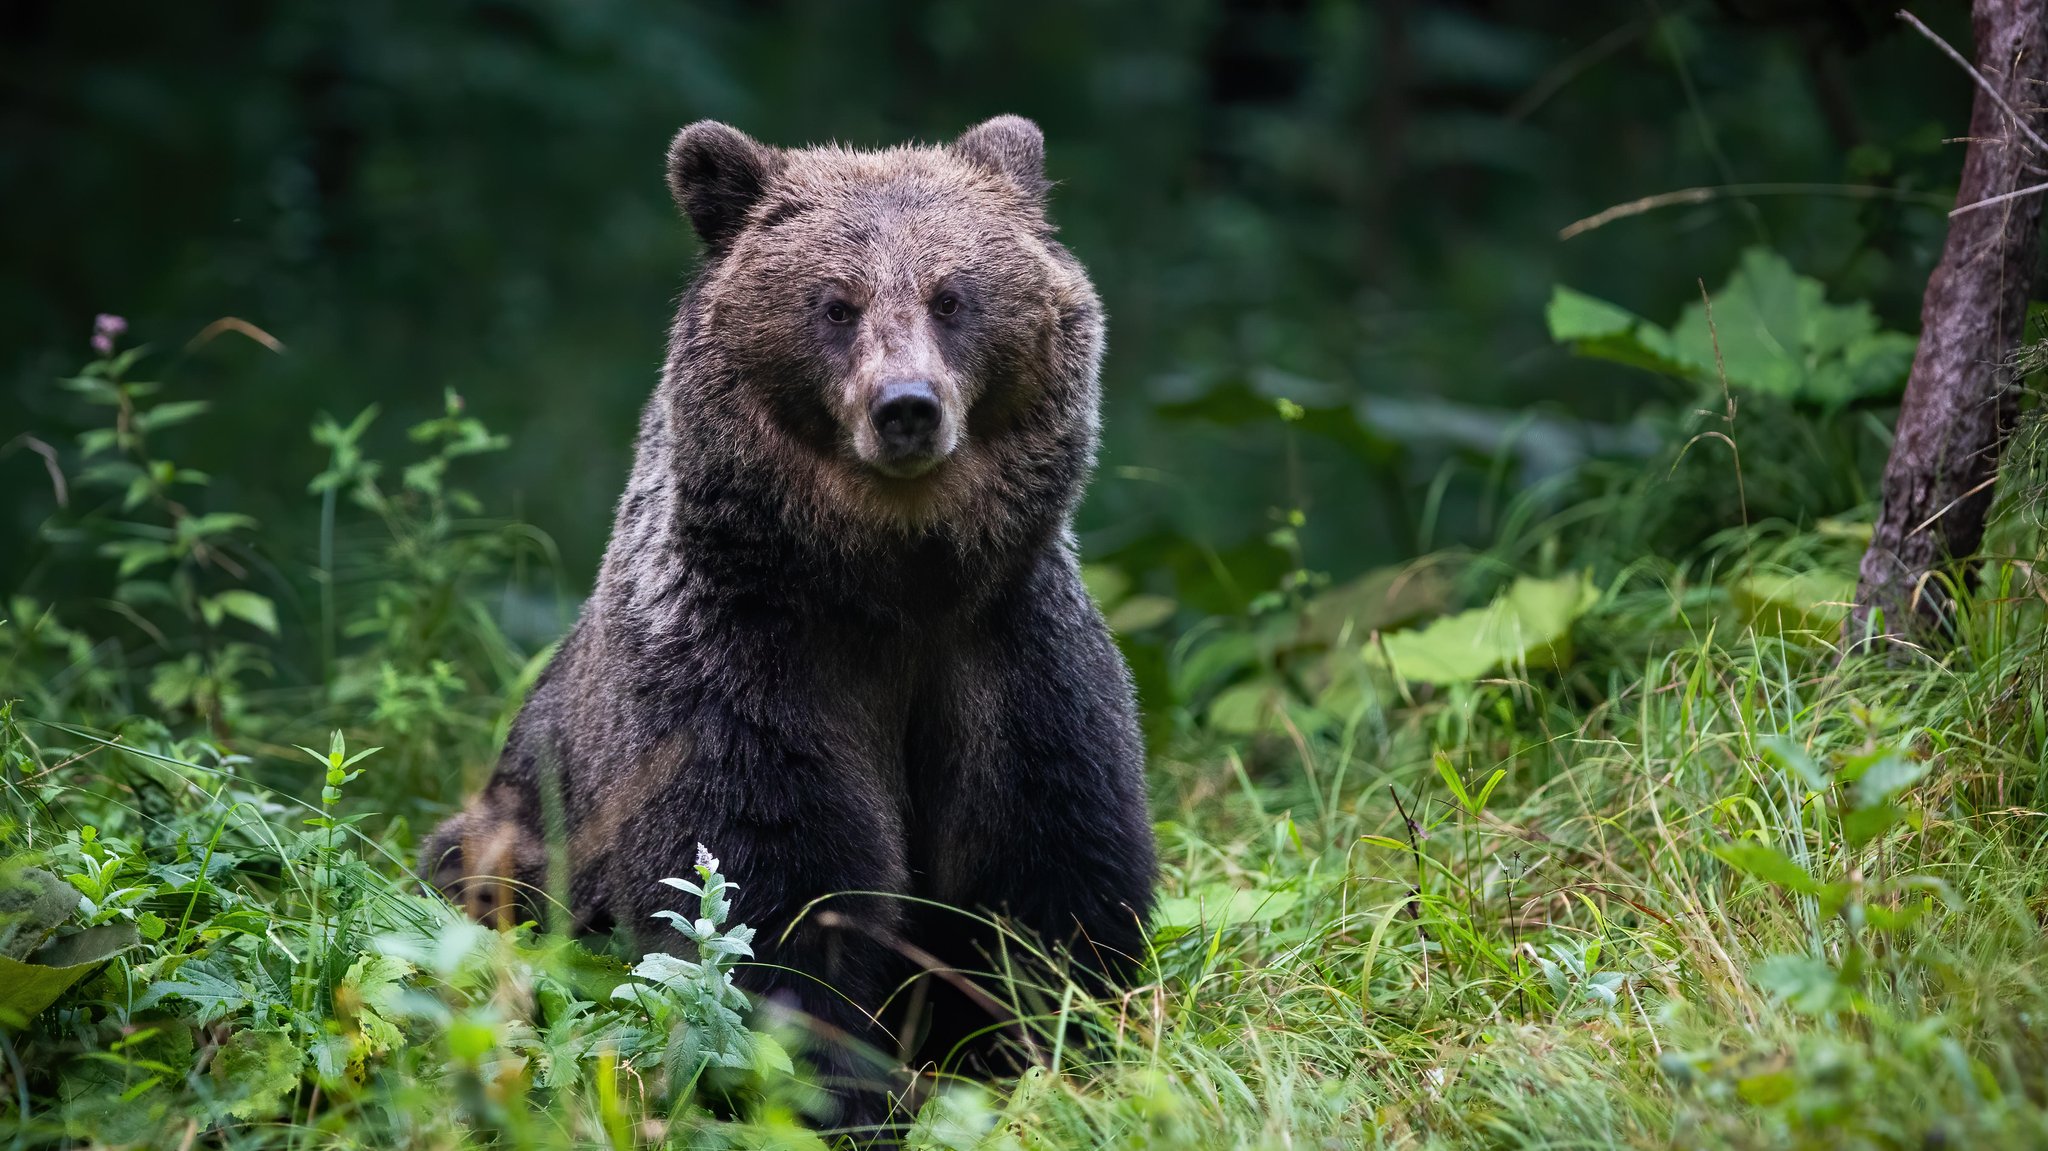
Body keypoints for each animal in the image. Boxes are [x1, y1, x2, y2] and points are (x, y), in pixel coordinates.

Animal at [419, 116, 1155, 1130]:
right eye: (835, 304)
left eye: (952, 296)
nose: (906, 408)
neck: (889, 586)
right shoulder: (740, 671)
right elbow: (764, 893)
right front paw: (847, 1089)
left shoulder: (1010, 652)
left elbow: (1048, 871)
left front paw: (1045, 1047)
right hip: (514, 838)